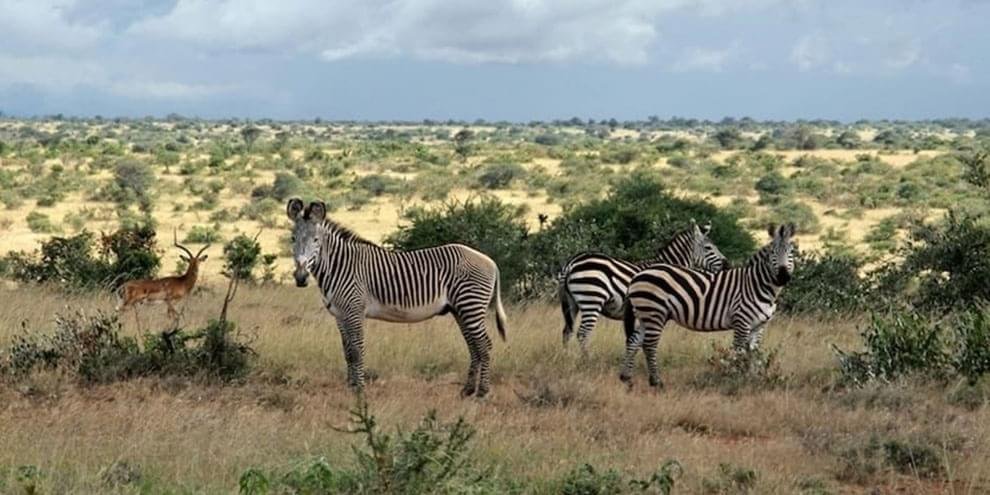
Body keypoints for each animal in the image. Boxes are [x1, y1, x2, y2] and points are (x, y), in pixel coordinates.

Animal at [282, 200, 508, 398]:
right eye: (292, 239)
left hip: (470, 305)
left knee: (484, 345)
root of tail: (490, 261)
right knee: (474, 346)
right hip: (460, 310)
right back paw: (467, 390)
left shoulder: (354, 311)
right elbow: (347, 351)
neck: (339, 266)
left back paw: (482, 392)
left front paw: (359, 390)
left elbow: (356, 350)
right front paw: (350, 387)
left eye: (316, 240)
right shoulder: (339, 314)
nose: (300, 277)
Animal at [560, 223, 732, 354]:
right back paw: (587, 359)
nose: (728, 265)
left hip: (573, 304)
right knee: (582, 333)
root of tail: (572, 262)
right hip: (592, 299)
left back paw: (566, 357)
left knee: (567, 331)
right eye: (708, 248)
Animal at [620, 223, 800, 390]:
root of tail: (638, 275)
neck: (757, 285)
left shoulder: (759, 326)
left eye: (791, 253)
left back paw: (626, 378)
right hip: (654, 312)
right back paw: (656, 382)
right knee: (649, 345)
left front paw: (752, 380)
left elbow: (753, 354)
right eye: (772, 253)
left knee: (634, 341)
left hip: (646, 315)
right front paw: (735, 380)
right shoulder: (741, 322)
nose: (783, 276)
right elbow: (738, 353)